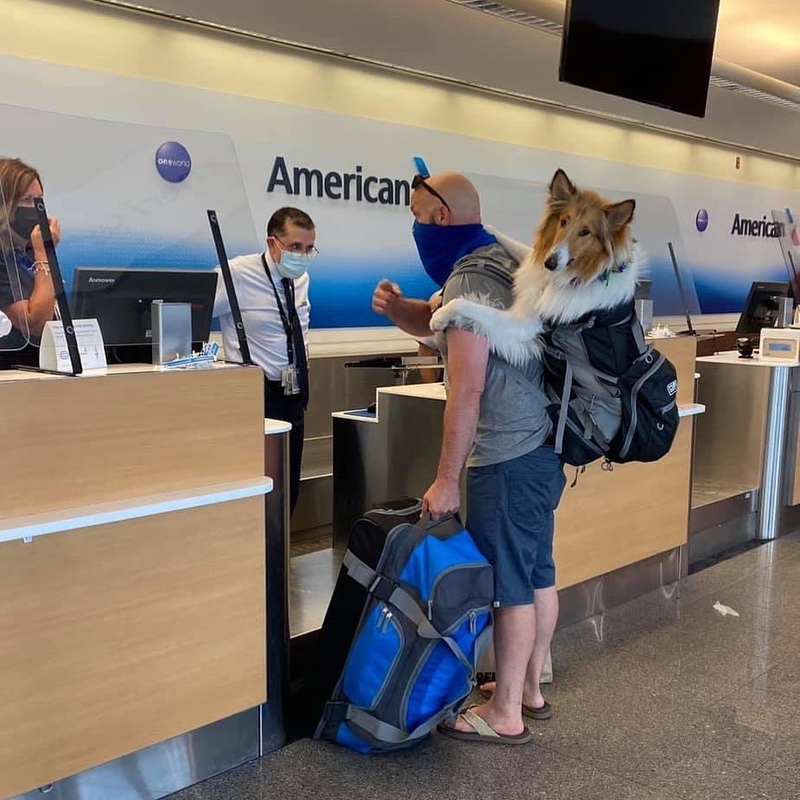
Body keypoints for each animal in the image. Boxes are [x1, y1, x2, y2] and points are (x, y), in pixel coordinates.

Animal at [432, 173, 644, 368]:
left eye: (585, 232)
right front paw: (488, 228)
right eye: (564, 221)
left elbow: (466, 304)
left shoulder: (525, 322)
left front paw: (440, 316)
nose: (550, 263)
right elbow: (517, 245)